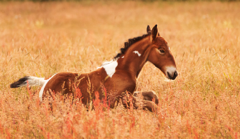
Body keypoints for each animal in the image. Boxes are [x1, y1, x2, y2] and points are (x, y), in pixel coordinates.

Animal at [10, 24, 177, 112]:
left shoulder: (129, 94)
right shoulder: (122, 99)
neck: (123, 70)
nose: (173, 73)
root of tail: (45, 82)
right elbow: (152, 106)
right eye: (162, 50)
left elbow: (153, 96)